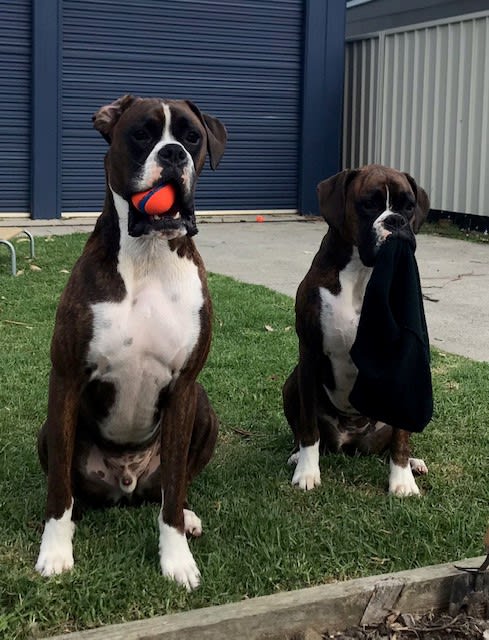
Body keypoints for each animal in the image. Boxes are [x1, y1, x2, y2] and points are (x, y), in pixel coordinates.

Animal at [35, 95, 227, 592]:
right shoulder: (65, 379)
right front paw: (55, 551)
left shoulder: (184, 387)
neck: (148, 256)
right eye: (141, 134)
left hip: (203, 405)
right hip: (50, 429)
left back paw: (188, 514)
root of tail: (126, 483)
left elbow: (174, 491)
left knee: (171, 488)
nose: (173, 154)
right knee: (69, 486)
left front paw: (176, 559)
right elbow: (58, 490)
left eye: (192, 137)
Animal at [284, 162, 428, 498]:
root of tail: (351, 439)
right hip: (292, 381)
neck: (364, 272)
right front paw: (307, 472)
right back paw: (297, 455)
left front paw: (402, 479)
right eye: (369, 204)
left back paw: (413, 462)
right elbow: (308, 427)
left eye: (408, 206)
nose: (396, 220)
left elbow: (401, 437)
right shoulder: (309, 353)